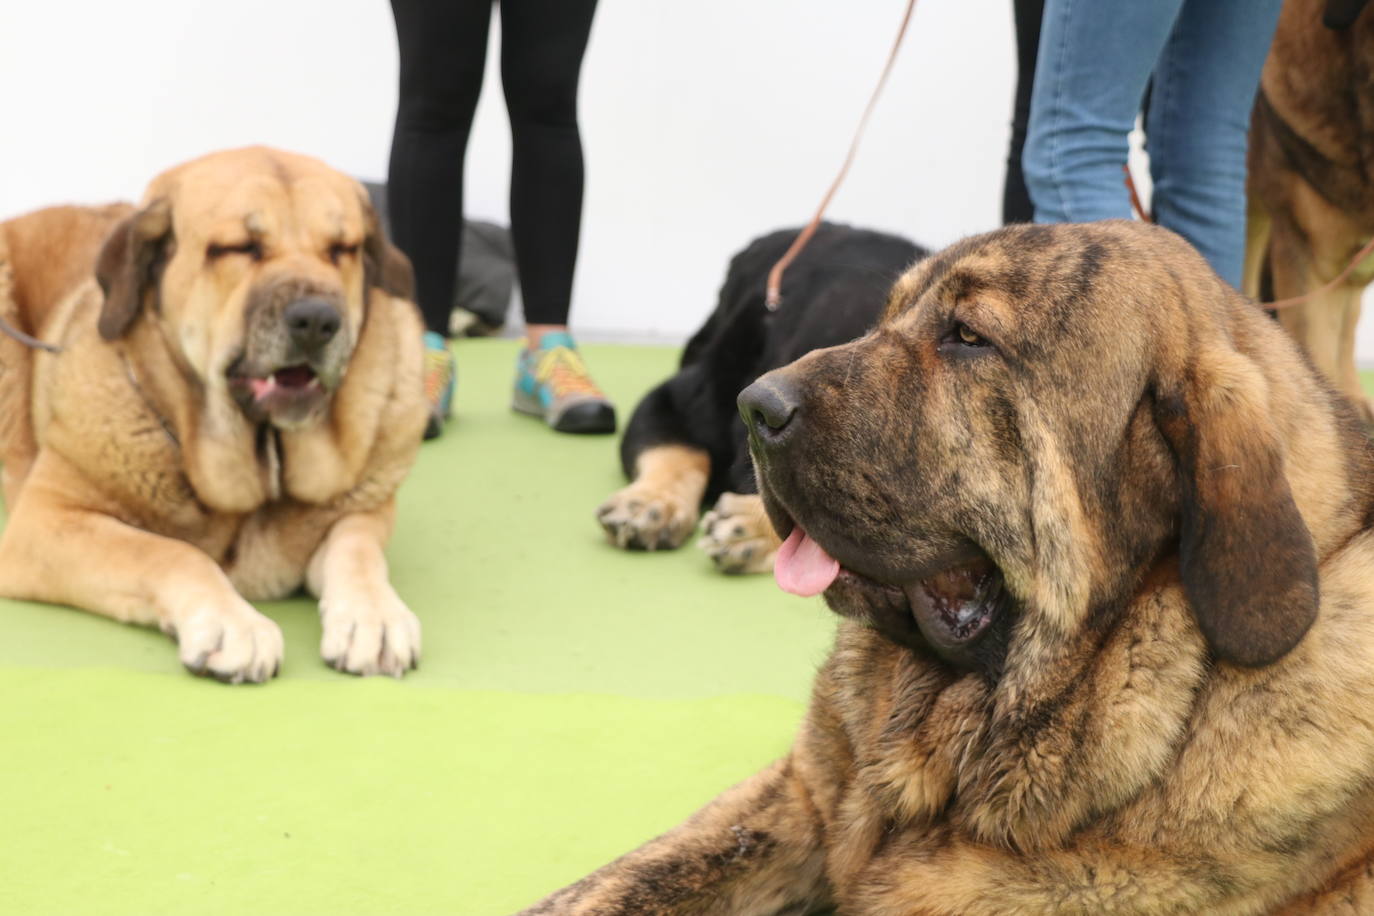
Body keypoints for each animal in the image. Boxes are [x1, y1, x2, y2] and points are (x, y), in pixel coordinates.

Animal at [0, 146, 425, 683]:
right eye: (240, 248)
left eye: (341, 249)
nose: (317, 320)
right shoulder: (47, 518)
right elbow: (167, 551)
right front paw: (231, 623)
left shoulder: (364, 507)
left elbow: (358, 548)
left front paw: (374, 616)